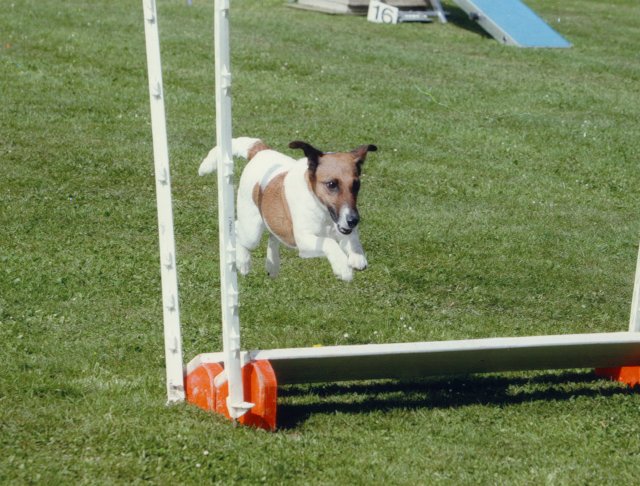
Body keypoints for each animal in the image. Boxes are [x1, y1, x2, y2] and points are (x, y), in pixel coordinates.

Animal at [199, 137, 376, 280]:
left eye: (356, 185)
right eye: (331, 184)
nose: (354, 220)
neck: (323, 212)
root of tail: (261, 151)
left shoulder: (343, 228)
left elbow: (352, 239)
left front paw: (357, 257)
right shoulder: (303, 240)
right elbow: (329, 242)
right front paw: (343, 268)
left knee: (273, 235)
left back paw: (272, 265)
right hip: (251, 230)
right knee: (237, 228)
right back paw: (243, 262)